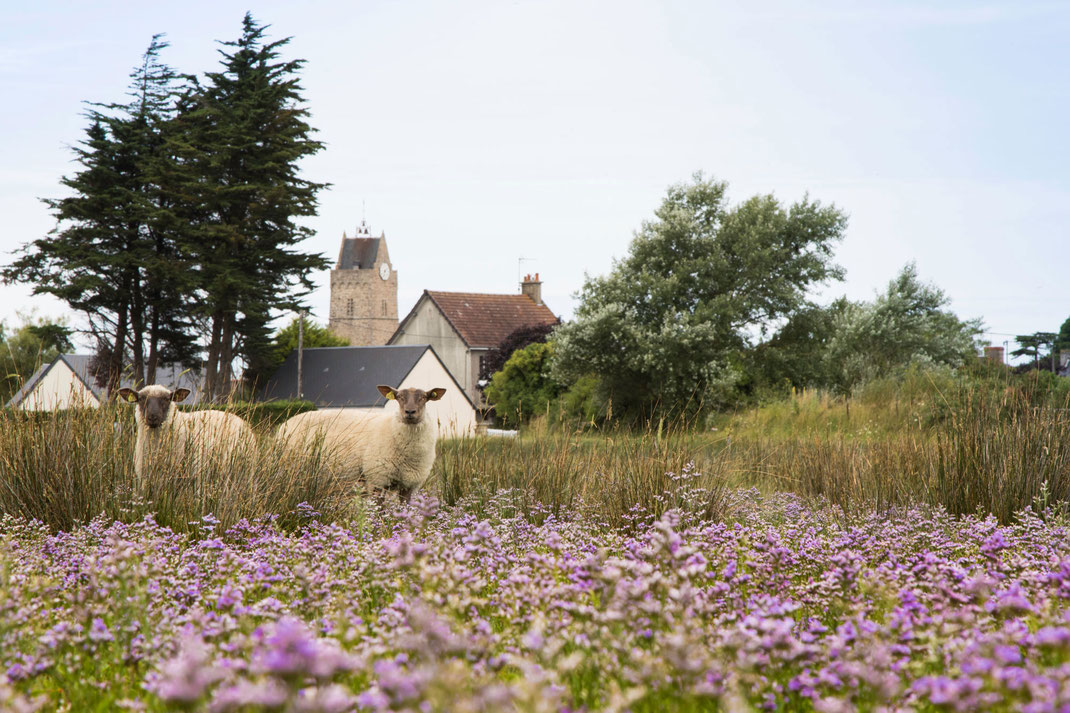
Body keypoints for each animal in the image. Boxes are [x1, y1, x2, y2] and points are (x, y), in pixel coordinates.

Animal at [276, 381, 447, 503]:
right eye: (399, 397)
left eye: (424, 398)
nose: (410, 412)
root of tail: (286, 423)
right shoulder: (377, 478)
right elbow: (379, 511)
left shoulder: (410, 484)